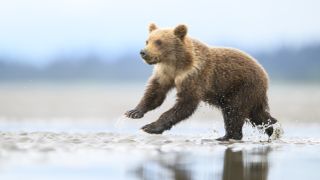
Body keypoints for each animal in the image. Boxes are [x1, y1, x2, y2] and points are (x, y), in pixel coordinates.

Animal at [125, 22, 278, 141]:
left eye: (158, 41)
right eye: (147, 41)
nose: (143, 52)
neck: (176, 63)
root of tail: (264, 73)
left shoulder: (195, 75)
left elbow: (186, 103)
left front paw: (150, 127)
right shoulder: (165, 73)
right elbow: (155, 92)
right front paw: (133, 112)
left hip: (243, 86)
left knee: (234, 111)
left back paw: (230, 136)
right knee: (255, 114)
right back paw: (273, 128)